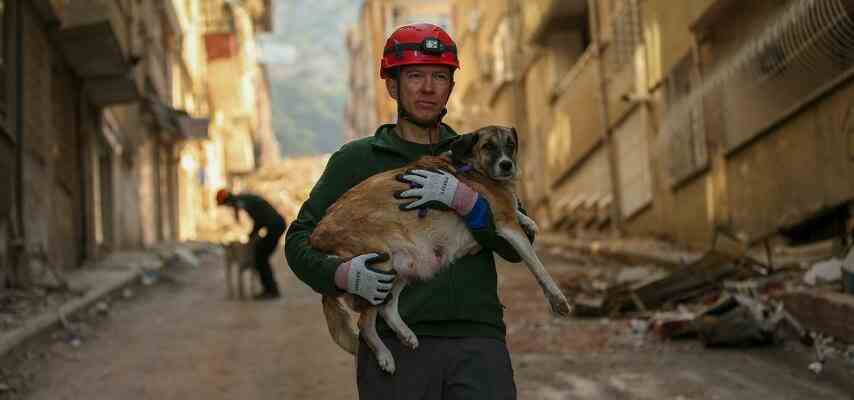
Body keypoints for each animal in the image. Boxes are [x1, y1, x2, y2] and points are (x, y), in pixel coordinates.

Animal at [310, 126, 572, 376]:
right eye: (488, 146)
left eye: (510, 144)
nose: (507, 165)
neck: (474, 167)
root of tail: (318, 235)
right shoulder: (507, 226)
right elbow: (538, 267)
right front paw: (558, 299)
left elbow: (516, 212)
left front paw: (529, 221)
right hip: (378, 266)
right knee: (365, 325)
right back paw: (385, 357)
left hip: (406, 264)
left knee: (387, 308)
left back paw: (406, 334)